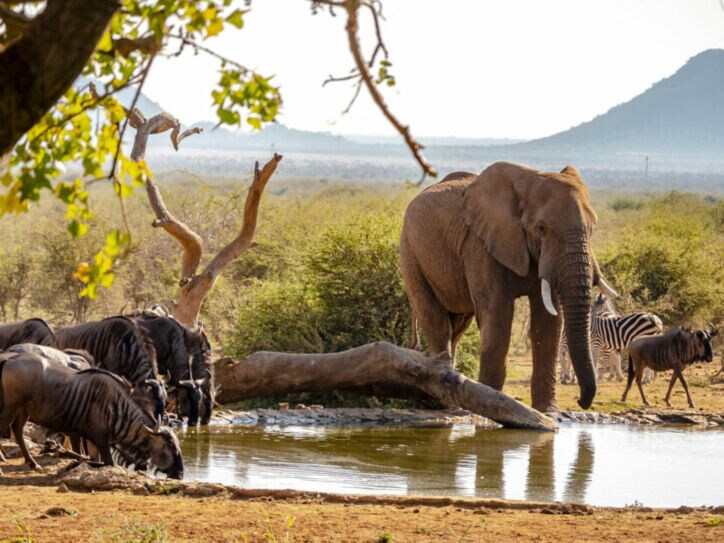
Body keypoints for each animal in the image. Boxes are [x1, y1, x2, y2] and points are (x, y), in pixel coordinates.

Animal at [399, 162, 617, 412]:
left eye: (592, 229)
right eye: (542, 228)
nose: (581, 401)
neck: (528, 179)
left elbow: (548, 322)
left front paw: (547, 411)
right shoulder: (480, 244)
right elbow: (498, 315)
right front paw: (488, 406)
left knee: (457, 325)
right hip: (410, 253)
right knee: (436, 321)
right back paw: (445, 404)